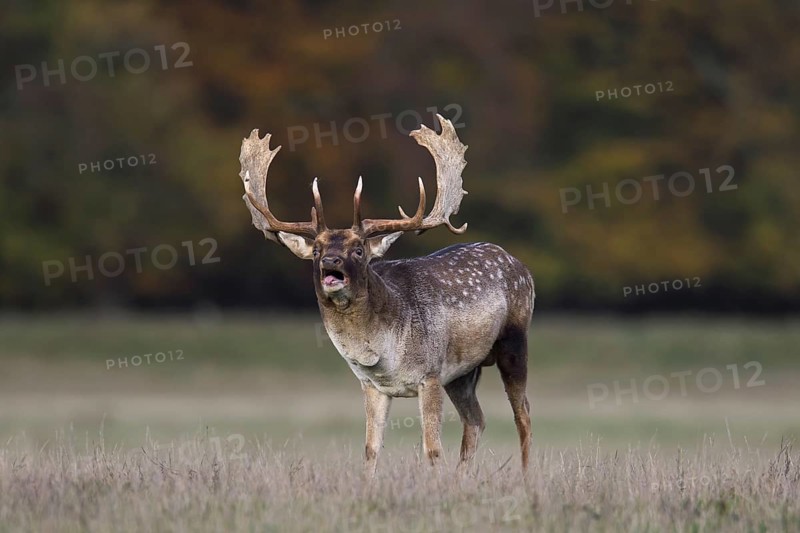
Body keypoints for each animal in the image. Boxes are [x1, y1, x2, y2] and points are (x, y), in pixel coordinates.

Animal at [238, 115, 534, 475]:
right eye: (317, 249)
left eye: (359, 249)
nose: (330, 262)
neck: (383, 354)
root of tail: (520, 265)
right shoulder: (372, 385)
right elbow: (370, 449)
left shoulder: (430, 373)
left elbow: (432, 449)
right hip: (463, 372)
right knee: (476, 420)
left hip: (514, 341)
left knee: (523, 413)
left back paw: (526, 477)